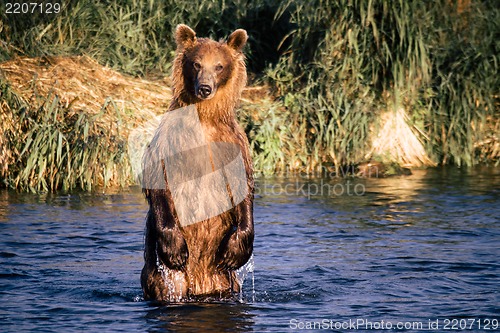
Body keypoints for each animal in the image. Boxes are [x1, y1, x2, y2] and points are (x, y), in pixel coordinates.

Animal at [141, 24, 254, 302]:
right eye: (196, 63)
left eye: (219, 66)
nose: (205, 88)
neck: (204, 118)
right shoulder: (170, 140)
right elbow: (159, 177)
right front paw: (175, 248)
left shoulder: (233, 143)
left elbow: (243, 186)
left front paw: (236, 250)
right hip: (168, 277)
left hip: (225, 280)